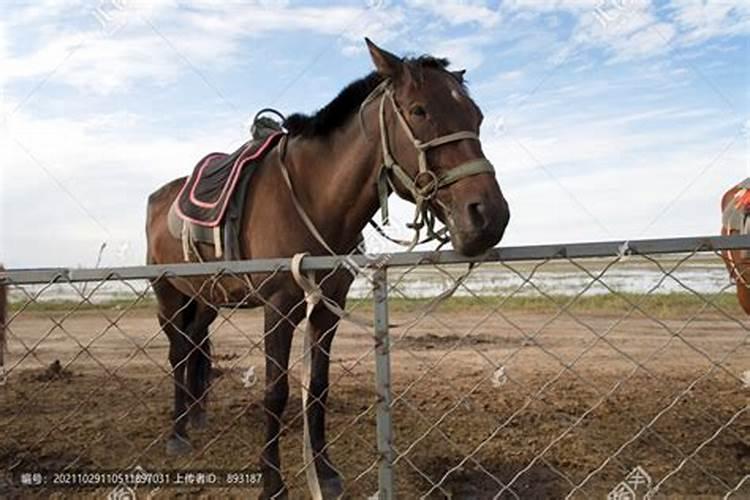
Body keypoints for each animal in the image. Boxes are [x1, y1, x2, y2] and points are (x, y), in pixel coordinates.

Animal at [145, 37, 512, 498]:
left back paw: (195, 418)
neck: (311, 196)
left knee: (194, 342)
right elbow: (277, 390)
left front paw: (325, 473)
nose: (489, 216)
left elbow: (317, 390)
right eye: (419, 111)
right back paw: (177, 434)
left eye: (476, 116)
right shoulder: (279, 305)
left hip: (207, 297)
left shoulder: (327, 305)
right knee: (178, 351)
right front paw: (272, 482)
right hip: (168, 294)